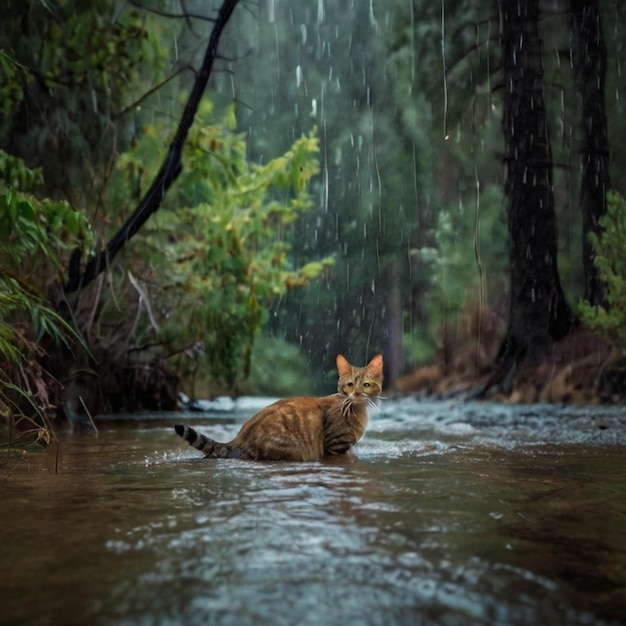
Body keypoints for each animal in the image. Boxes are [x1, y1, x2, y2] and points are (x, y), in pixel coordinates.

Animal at [173, 354, 382, 460]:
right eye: (349, 385)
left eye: (366, 385)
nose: (357, 394)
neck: (357, 411)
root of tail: (240, 438)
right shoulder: (336, 446)